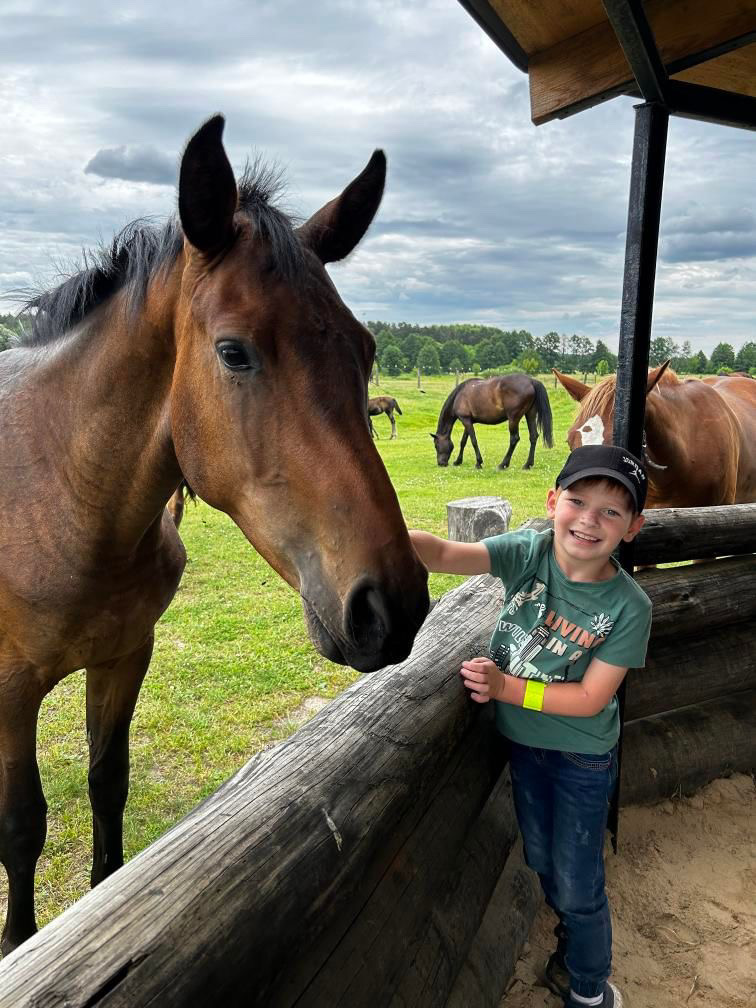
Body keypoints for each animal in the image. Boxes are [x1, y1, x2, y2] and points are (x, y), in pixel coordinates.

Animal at [0, 115, 429, 951]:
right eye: (234, 351)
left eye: (364, 350)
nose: (390, 607)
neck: (55, 496)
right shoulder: (8, 691)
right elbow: (20, 827)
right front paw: (18, 941)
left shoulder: (125, 655)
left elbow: (107, 783)